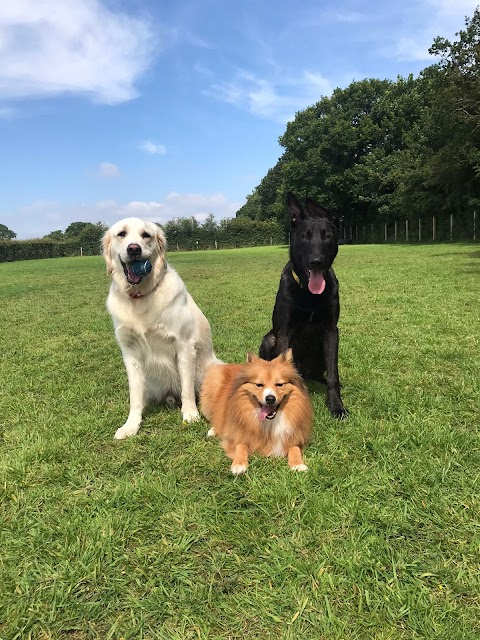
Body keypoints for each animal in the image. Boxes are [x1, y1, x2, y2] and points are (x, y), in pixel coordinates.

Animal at [258, 192, 348, 418]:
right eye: (305, 236)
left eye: (327, 236)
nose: (316, 261)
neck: (309, 294)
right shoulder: (285, 332)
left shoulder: (331, 331)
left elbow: (333, 374)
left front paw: (336, 405)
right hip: (269, 340)